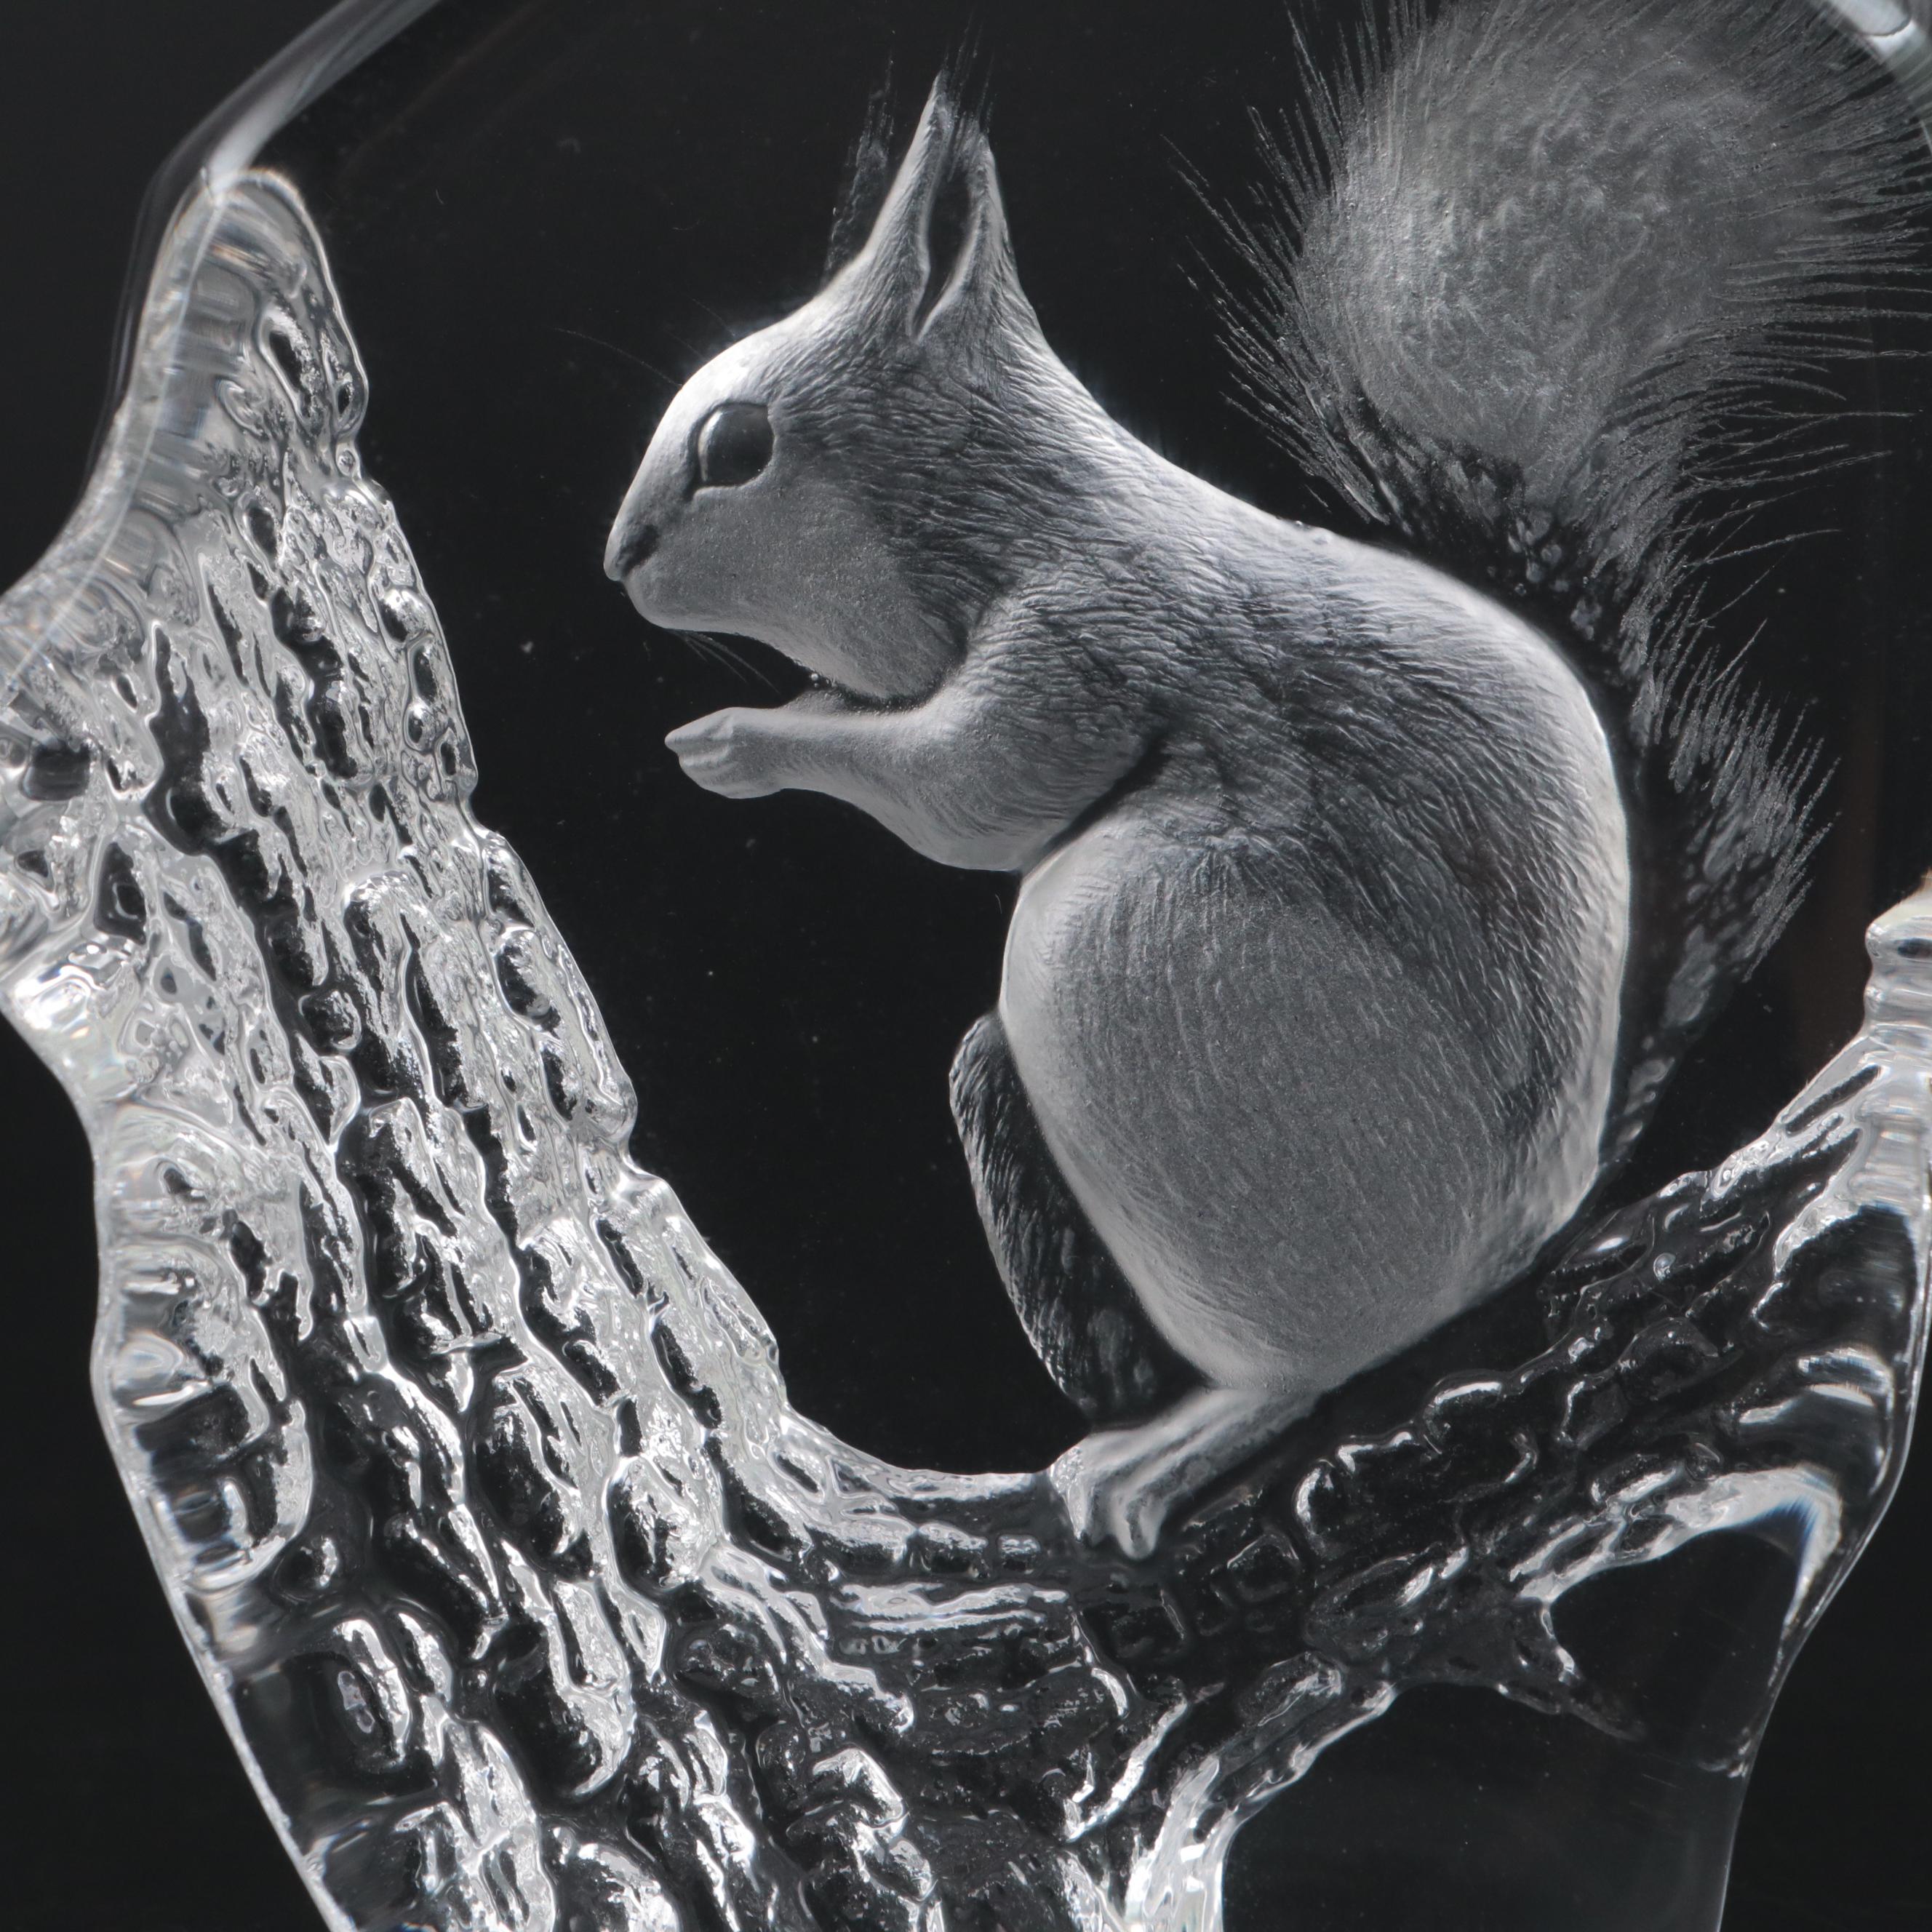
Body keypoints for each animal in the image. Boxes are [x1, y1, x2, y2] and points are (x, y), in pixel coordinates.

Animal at [604, 0, 1926, 1557]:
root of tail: (1505, 1250)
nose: (619, 560)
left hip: (1163, 996)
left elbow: (972, 795)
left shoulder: (1089, 638)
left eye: (734, 447)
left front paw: (748, 746)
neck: (1008, 515)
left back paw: (1172, 1442)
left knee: (1308, 1372)